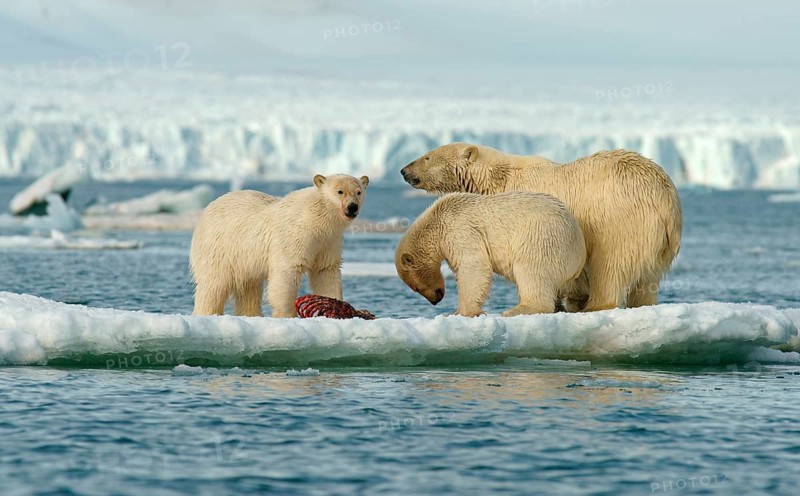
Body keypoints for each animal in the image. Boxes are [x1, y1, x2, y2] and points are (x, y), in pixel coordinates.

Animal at [189, 174, 369, 317]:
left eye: (358, 192)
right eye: (340, 191)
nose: (352, 207)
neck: (317, 219)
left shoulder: (328, 241)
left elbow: (325, 270)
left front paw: (335, 304)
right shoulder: (295, 236)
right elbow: (287, 272)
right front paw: (287, 314)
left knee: (249, 287)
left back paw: (252, 314)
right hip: (219, 247)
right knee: (214, 285)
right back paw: (207, 312)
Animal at [395, 191, 586, 317]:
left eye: (416, 287)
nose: (436, 300)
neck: (437, 219)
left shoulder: (459, 229)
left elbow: (473, 265)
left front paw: (461, 312)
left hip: (541, 237)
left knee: (531, 271)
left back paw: (515, 310)